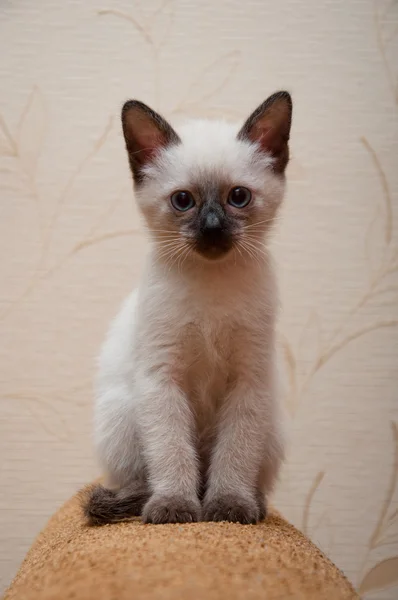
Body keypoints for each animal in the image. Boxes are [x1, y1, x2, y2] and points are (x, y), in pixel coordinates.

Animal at [82, 90, 292, 524]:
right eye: (183, 201)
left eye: (238, 197)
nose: (212, 228)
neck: (210, 284)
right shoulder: (163, 380)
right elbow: (172, 452)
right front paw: (175, 508)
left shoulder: (248, 382)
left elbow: (235, 456)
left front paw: (228, 508)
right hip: (122, 415)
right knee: (141, 480)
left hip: (273, 428)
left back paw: (250, 504)